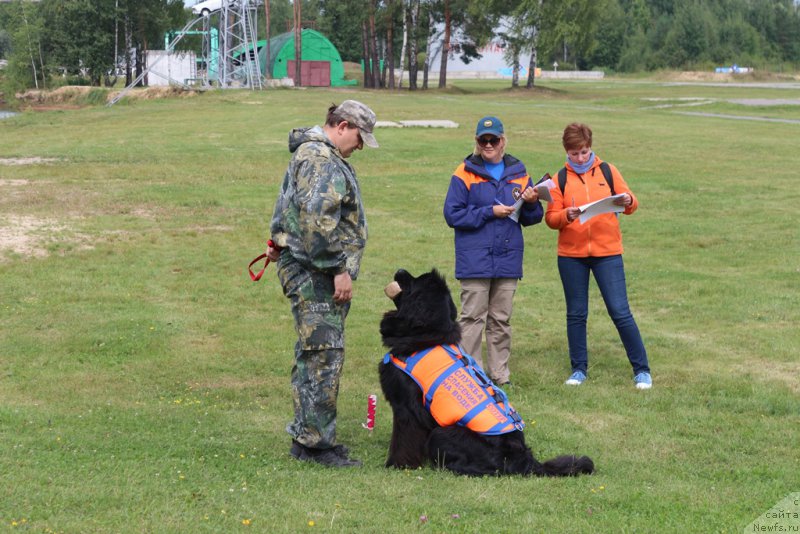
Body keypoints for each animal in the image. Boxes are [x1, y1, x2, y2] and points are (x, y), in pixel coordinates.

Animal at [376, 270, 592, 480]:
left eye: (415, 282)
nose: (400, 270)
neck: (425, 335)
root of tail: (524, 458)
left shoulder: (407, 407)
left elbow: (403, 439)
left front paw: (397, 465)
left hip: (443, 432)